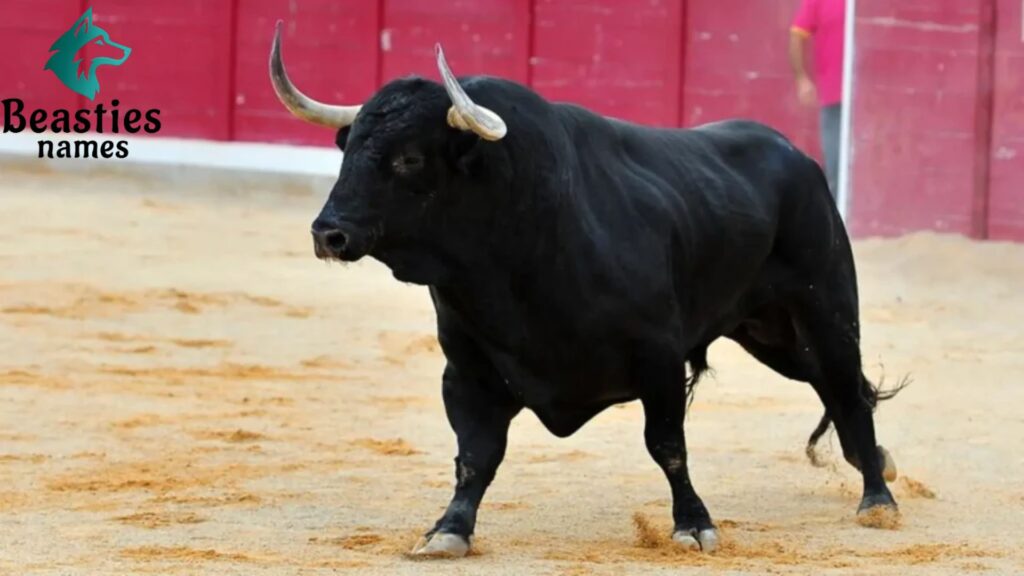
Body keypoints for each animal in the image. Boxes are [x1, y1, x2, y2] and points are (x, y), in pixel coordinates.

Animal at [269, 22, 901, 557]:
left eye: (408, 158)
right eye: (349, 149)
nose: (328, 233)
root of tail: (798, 157)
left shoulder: (659, 358)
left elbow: (667, 444)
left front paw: (693, 524)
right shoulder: (467, 368)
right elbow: (475, 454)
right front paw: (448, 530)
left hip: (825, 308)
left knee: (847, 388)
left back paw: (878, 498)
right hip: (771, 333)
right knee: (837, 388)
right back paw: (875, 463)